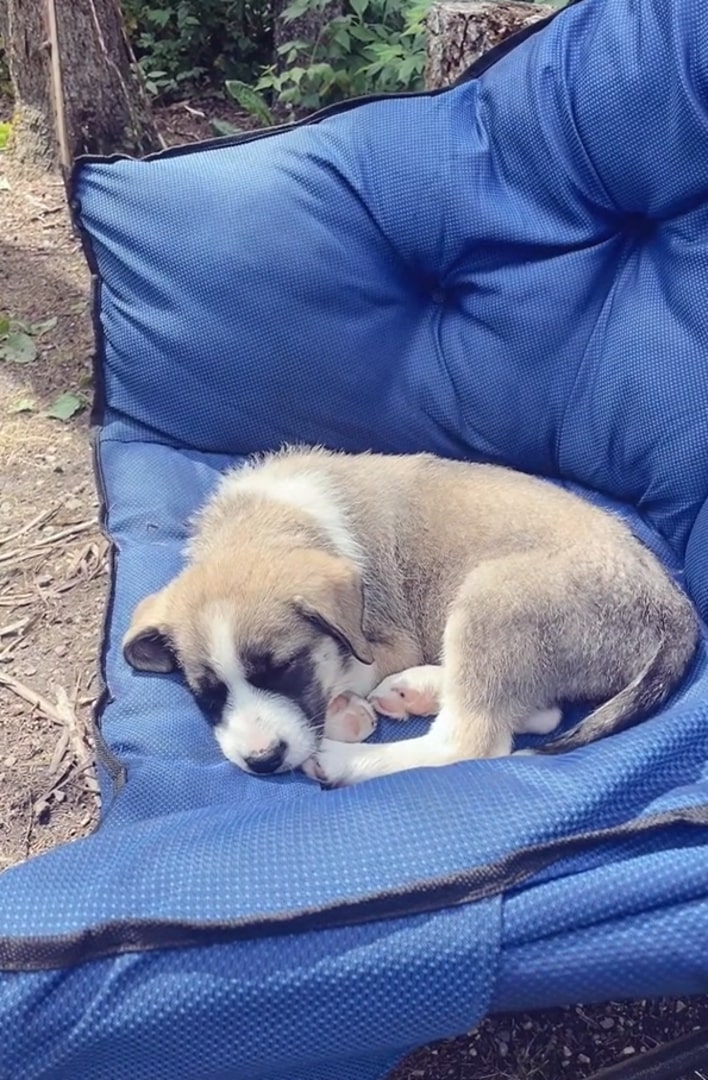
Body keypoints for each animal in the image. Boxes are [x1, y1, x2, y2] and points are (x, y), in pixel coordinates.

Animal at [121, 444, 695, 786]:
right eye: (206, 693)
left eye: (285, 668)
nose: (262, 761)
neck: (268, 522)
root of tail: (675, 607)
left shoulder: (386, 640)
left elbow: (346, 668)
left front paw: (341, 716)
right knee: (537, 709)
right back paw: (416, 691)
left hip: (492, 595)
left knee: (472, 739)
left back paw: (348, 759)